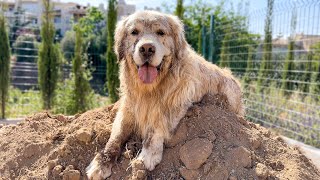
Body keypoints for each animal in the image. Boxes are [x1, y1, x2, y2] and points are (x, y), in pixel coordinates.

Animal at [86, 10, 244, 179]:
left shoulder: (174, 105)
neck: (150, 89)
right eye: (134, 32)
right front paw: (101, 163)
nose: (147, 48)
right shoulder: (128, 108)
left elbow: (156, 127)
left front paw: (148, 155)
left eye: (160, 32)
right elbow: (115, 137)